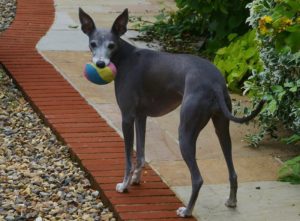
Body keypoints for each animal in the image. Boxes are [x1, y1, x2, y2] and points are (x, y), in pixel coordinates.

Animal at [78, 7, 264, 217]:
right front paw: (136, 179)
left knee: (197, 178)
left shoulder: (127, 117)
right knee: (232, 171)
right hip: (222, 128)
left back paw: (187, 211)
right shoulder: (141, 117)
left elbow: (128, 159)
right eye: (93, 44)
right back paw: (231, 201)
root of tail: (215, 82)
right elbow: (140, 155)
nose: (100, 64)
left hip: (185, 131)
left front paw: (124, 185)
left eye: (111, 45)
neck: (125, 56)